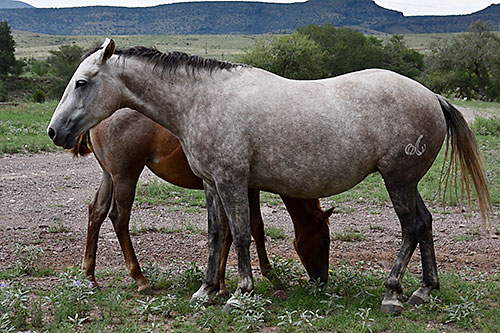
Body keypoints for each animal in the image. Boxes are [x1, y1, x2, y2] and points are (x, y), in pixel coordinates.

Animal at [73, 107, 332, 292]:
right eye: (325, 240)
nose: (321, 280)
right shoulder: (246, 188)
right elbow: (253, 229)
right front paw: (267, 274)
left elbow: (231, 231)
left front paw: (220, 283)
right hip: (126, 175)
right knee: (119, 218)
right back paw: (140, 278)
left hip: (109, 176)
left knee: (96, 212)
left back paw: (89, 275)